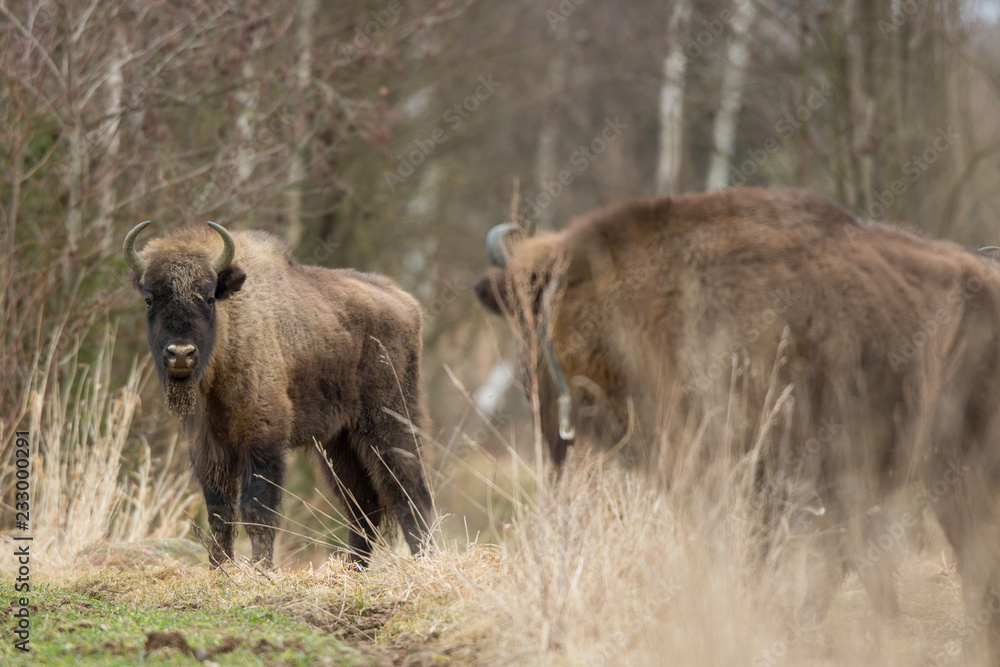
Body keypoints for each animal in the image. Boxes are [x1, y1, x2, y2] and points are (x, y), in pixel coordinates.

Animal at [124, 221, 434, 568]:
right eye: (149, 299)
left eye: (209, 297)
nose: (180, 354)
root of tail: (407, 303)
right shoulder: (209, 447)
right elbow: (219, 513)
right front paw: (220, 568)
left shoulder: (263, 439)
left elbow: (257, 511)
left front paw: (261, 569)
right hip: (338, 444)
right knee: (363, 505)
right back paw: (354, 569)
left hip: (390, 424)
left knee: (411, 493)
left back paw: (424, 562)